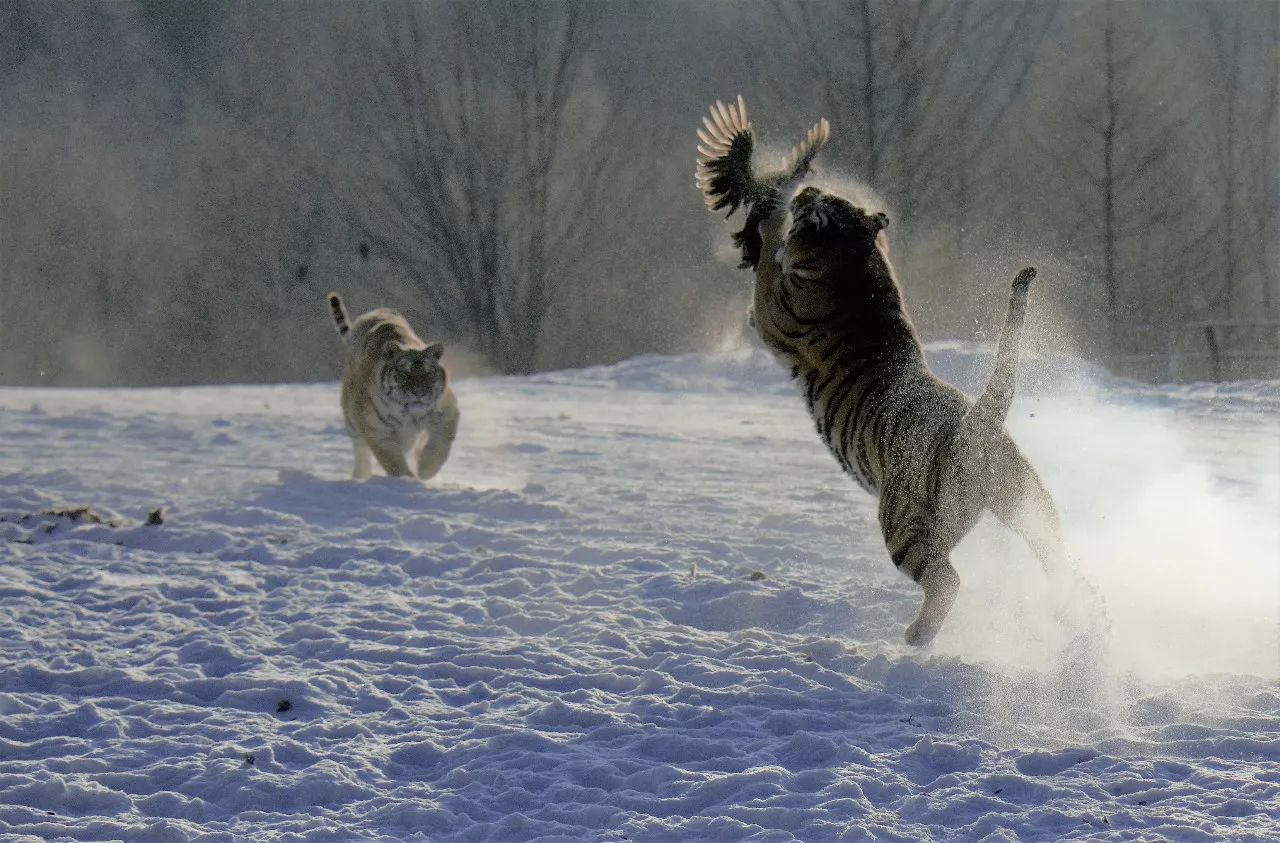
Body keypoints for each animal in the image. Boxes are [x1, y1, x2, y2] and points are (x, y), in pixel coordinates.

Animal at [325, 295, 460, 480]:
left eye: (428, 373)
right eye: (405, 373)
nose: (419, 393)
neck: (408, 415)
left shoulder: (446, 412)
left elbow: (439, 448)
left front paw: (424, 470)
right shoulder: (377, 431)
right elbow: (394, 462)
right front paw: (407, 479)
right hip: (353, 420)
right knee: (361, 451)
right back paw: (360, 476)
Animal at [696, 95, 1064, 647]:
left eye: (822, 204)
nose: (810, 189)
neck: (853, 261)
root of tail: (978, 420)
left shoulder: (772, 313)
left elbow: (767, 266)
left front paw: (773, 218)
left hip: (902, 521)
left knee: (947, 580)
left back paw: (916, 637)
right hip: (1031, 505)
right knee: (1062, 559)